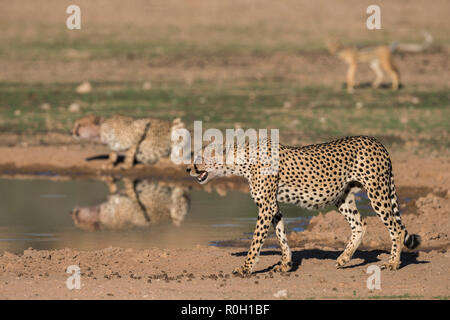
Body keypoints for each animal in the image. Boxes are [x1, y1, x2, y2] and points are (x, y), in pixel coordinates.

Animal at [186, 135, 422, 276]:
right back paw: (343, 259)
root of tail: (375, 140)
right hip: (342, 197)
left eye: (199, 158)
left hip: (377, 192)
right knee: (360, 225)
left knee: (397, 228)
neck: (241, 161)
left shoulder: (266, 206)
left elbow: (255, 242)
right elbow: (281, 236)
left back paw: (393, 263)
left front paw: (245, 268)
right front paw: (285, 264)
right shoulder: (273, 207)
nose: (188, 169)